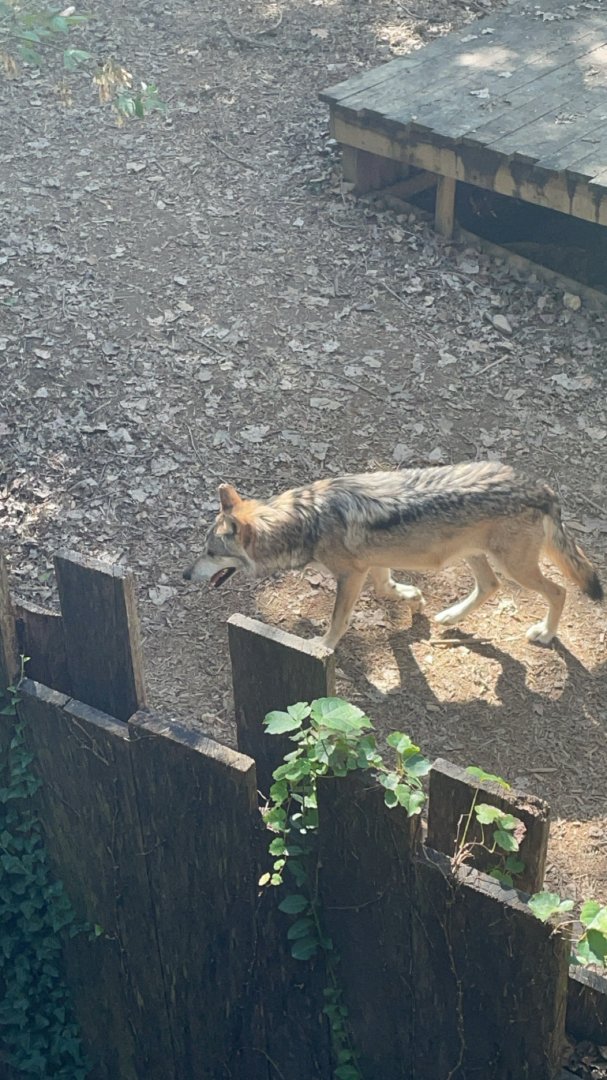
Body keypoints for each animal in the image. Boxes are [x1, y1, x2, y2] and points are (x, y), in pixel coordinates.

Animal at [182, 462, 603, 651]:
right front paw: (413, 599)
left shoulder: (351, 575)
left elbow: (338, 621)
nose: (185, 576)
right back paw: (449, 617)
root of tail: (542, 487)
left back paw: (545, 634)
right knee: (489, 587)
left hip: (514, 568)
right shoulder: (373, 563)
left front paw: (322, 647)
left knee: (560, 591)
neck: (308, 520)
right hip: (477, 557)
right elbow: (388, 590)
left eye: (210, 552)